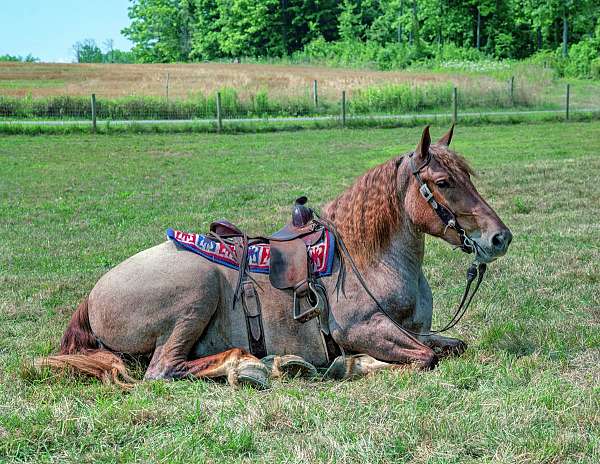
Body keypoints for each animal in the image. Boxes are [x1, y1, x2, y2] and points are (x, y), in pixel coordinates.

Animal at [36, 126, 510, 388]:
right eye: (444, 182)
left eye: (468, 175)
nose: (499, 237)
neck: (370, 259)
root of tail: (93, 294)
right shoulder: (364, 330)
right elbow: (425, 358)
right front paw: (351, 364)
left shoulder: (417, 330)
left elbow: (451, 346)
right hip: (196, 293)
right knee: (163, 369)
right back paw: (250, 366)